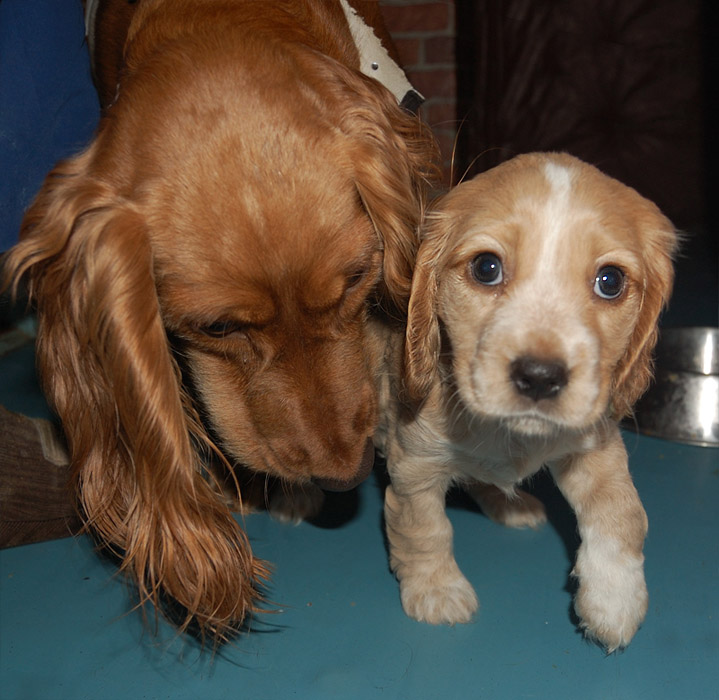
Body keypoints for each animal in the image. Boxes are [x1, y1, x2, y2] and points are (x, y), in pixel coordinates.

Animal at [374, 152, 676, 652]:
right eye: (486, 268)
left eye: (610, 281)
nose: (539, 377)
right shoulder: (414, 466)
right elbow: (424, 528)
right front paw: (437, 590)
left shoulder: (593, 443)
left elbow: (623, 511)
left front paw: (615, 600)